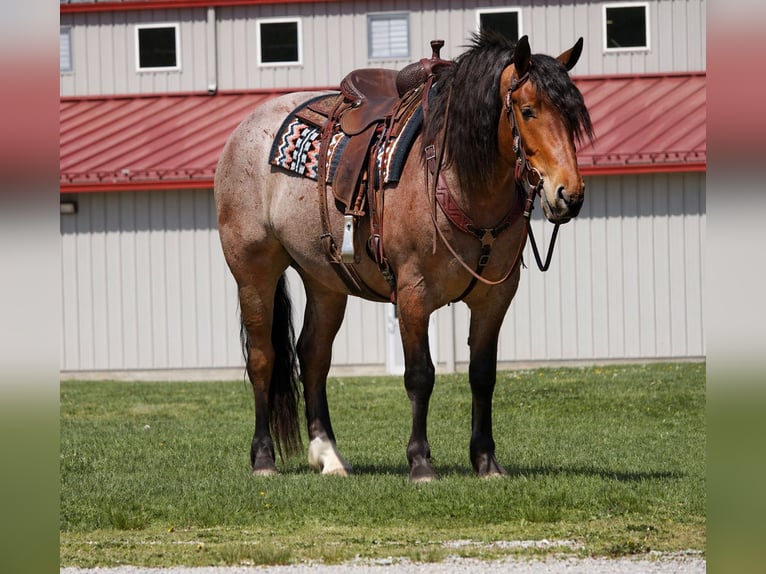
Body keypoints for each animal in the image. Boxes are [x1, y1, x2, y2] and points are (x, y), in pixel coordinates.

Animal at [214, 31, 594, 482]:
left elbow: (482, 375)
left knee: (314, 356)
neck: (456, 180)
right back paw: (263, 459)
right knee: (262, 358)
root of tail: (243, 131)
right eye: (528, 110)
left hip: (326, 281)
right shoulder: (413, 293)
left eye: (573, 116)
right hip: (253, 271)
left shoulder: (495, 298)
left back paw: (329, 455)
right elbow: (420, 376)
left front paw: (486, 461)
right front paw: (420, 462)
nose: (569, 195)